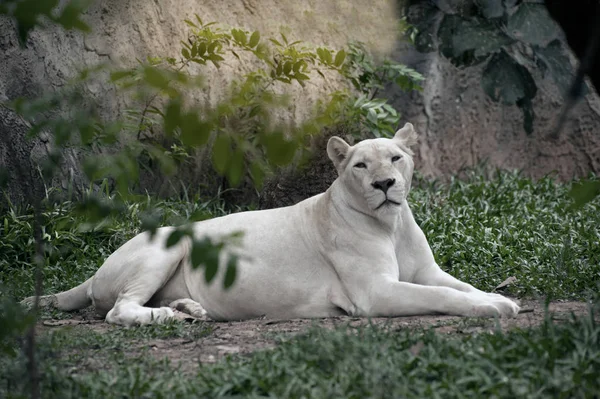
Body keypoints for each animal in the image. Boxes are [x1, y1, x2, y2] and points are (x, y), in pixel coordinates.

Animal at [22, 124, 520, 324]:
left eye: (396, 158)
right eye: (361, 165)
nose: (384, 184)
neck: (391, 223)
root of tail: (94, 274)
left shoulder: (426, 271)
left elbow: (460, 285)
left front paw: (498, 297)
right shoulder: (374, 292)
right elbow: (442, 296)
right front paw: (493, 308)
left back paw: (191, 308)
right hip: (163, 246)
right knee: (118, 310)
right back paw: (167, 316)